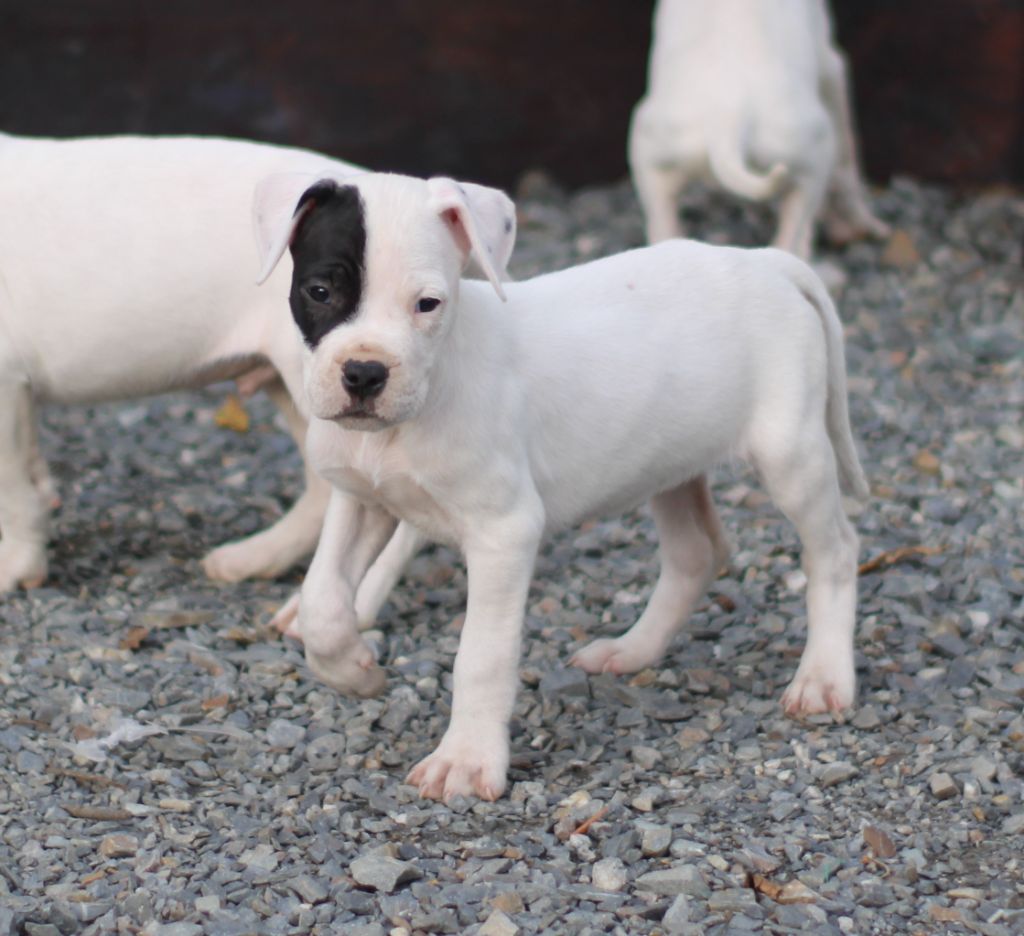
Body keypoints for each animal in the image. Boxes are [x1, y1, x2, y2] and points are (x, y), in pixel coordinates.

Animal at [260, 167, 868, 802]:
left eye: (427, 304)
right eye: (320, 292)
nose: (364, 373)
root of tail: (766, 261)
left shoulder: (505, 533)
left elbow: (481, 655)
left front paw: (466, 760)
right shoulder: (361, 499)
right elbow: (322, 599)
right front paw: (353, 670)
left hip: (790, 454)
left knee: (834, 551)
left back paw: (823, 676)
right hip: (669, 459)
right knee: (697, 553)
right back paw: (631, 650)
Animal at [626, 0, 884, 254]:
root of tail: (730, 113)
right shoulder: (833, 67)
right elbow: (848, 158)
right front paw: (864, 222)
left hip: (648, 158)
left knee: (660, 228)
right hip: (814, 157)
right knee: (796, 240)